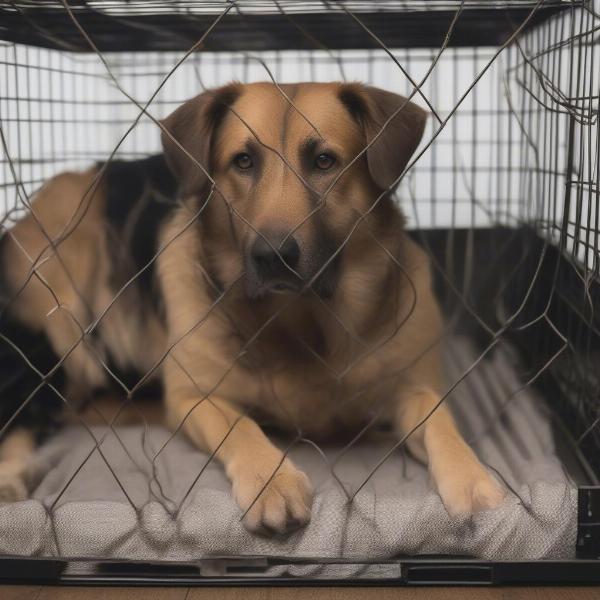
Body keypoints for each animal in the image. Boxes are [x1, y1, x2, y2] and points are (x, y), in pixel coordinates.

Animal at [0, 82, 504, 532]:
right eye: (243, 161)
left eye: (324, 161)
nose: (273, 255)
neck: (307, 322)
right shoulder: (195, 398)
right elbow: (240, 426)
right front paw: (272, 482)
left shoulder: (414, 389)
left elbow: (441, 422)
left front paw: (472, 477)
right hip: (63, 325)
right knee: (27, 409)